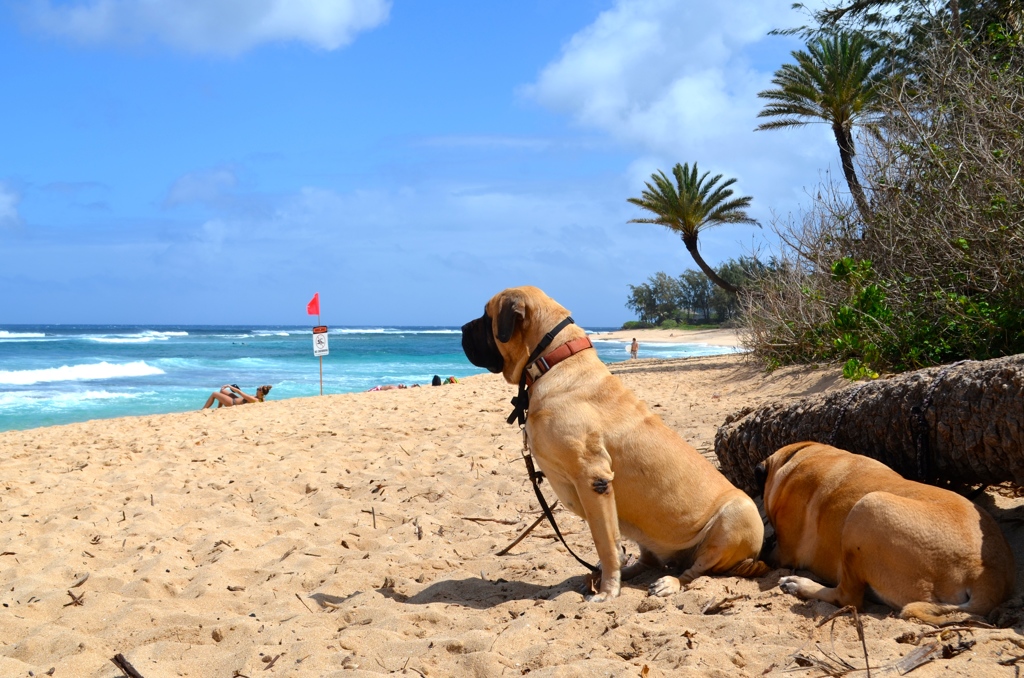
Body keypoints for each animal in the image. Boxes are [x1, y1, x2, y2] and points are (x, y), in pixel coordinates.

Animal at [464, 284, 770, 602]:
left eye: (486, 317)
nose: (462, 328)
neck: (553, 359)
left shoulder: (594, 480)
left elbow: (606, 545)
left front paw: (608, 592)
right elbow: (612, 545)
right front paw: (610, 580)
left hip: (737, 515)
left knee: (693, 571)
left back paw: (667, 583)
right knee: (650, 560)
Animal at [757, 444, 1011, 622]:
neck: (801, 455)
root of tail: (984, 573)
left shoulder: (783, 552)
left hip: (867, 508)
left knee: (848, 598)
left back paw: (798, 584)